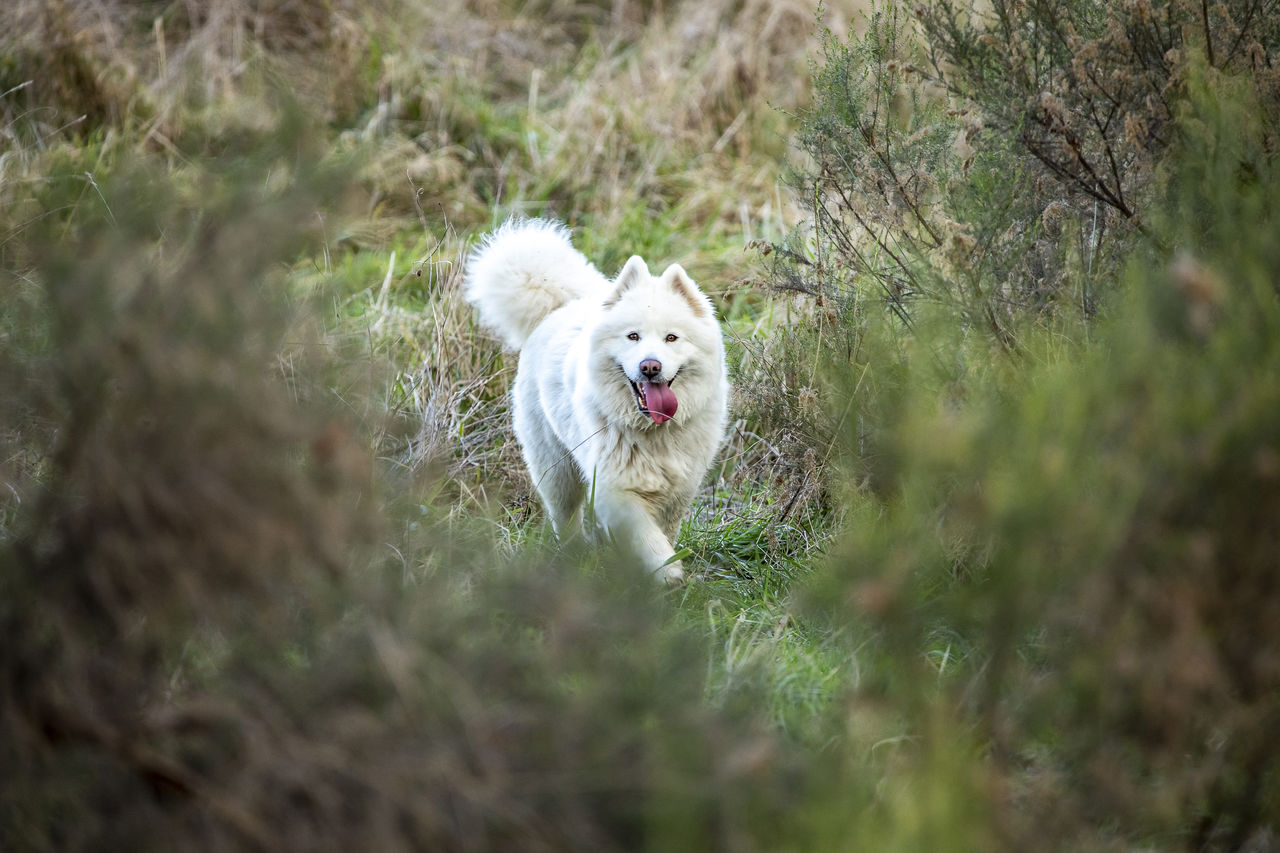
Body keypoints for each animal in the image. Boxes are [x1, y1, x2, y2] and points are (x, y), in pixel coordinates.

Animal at [468, 216, 732, 581]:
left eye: (671, 338)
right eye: (633, 336)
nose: (650, 366)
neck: (653, 433)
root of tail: (558, 306)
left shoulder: (679, 489)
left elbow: (665, 531)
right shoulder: (614, 490)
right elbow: (647, 536)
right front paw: (668, 572)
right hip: (557, 470)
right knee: (565, 519)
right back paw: (572, 556)